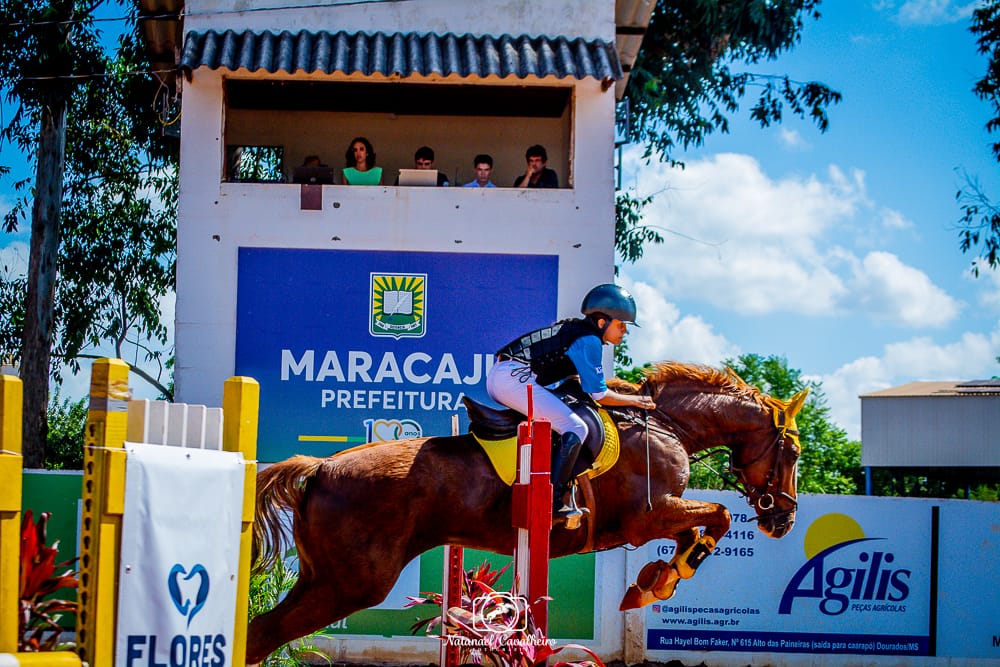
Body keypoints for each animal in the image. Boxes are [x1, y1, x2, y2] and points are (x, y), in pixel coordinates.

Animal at [246, 362, 808, 664]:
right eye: (794, 452)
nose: (783, 521)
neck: (667, 424)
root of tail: (321, 465)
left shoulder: (659, 516)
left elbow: (706, 523)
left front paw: (654, 579)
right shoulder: (647, 517)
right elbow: (718, 516)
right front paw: (659, 581)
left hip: (321, 578)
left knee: (262, 632)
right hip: (353, 585)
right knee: (265, 635)